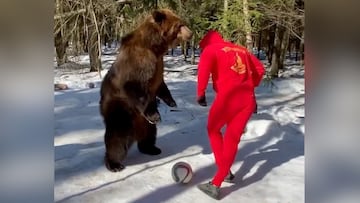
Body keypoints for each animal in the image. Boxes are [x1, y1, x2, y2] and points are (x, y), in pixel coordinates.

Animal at [100, 8, 193, 172]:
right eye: (180, 25)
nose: (191, 33)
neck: (155, 47)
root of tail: (135, 130)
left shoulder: (158, 65)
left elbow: (161, 84)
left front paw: (172, 102)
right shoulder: (140, 62)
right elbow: (135, 86)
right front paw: (155, 115)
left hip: (143, 123)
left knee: (150, 134)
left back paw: (151, 148)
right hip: (120, 108)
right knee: (117, 137)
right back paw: (114, 164)